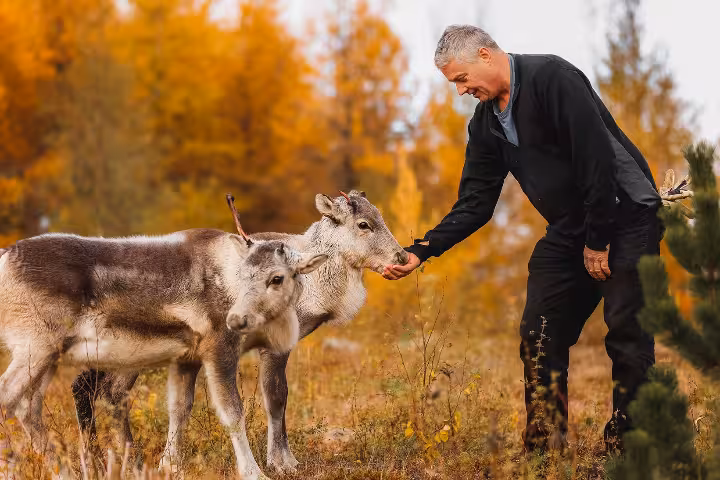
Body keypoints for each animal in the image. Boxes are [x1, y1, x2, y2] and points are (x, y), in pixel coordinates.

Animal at [0, 198, 328, 480]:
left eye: (277, 277)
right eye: (243, 274)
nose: (236, 319)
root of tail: (4, 258)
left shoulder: (187, 358)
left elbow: (179, 409)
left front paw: (170, 466)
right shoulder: (219, 349)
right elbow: (232, 413)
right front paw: (253, 472)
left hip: (50, 357)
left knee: (29, 407)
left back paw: (62, 471)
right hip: (35, 348)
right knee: (9, 396)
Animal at [72, 190, 409, 476]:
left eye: (379, 215)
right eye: (364, 224)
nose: (402, 257)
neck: (315, 282)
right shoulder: (273, 347)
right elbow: (275, 395)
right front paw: (281, 462)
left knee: (88, 385)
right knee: (107, 390)